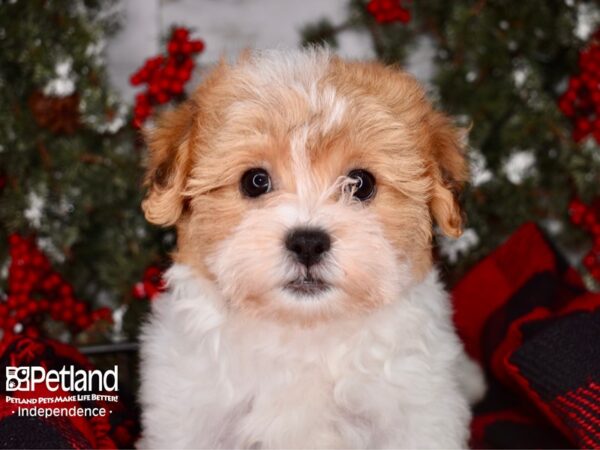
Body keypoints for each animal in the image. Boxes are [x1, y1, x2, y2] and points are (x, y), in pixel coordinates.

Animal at [138, 47, 486, 448]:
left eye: (360, 183)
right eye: (255, 181)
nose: (307, 243)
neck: (303, 331)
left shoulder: (417, 414)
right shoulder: (189, 415)